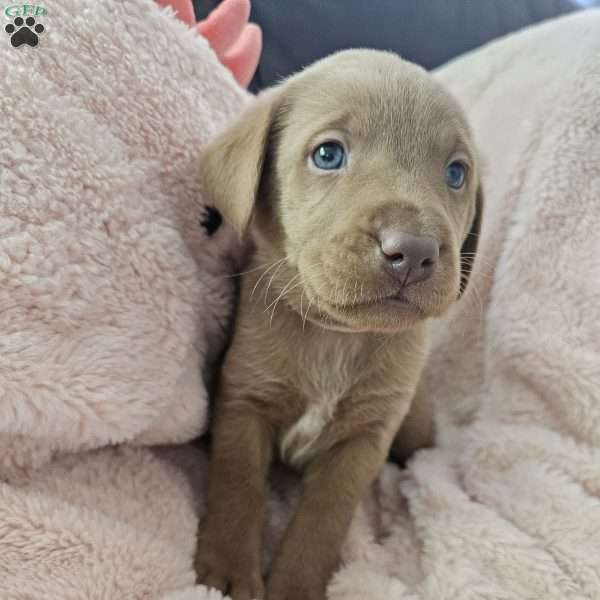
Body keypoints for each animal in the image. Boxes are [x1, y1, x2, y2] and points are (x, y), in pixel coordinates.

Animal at [196, 48, 482, 600]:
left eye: (456, 173)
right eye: (328, 155)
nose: (412, 251)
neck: (336, 337)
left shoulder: (365, 439)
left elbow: (322, 522)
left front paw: (293, 588)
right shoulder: (243, 402)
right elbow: (236, 487)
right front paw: (226, 573)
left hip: (414, 421)